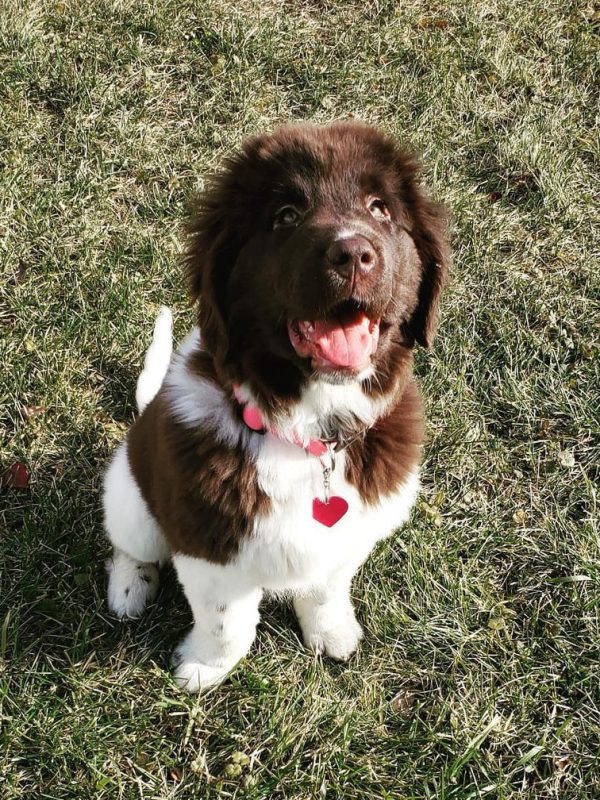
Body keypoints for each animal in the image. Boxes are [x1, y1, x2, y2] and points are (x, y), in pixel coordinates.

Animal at [103, 122, 448, 692]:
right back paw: (129, 587)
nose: (354, 254)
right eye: (286, 215)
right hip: (131, 496)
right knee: (131, 543)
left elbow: (327, 588)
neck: (309, 428)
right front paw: (203, 669)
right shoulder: (209, 547)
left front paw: (332, 632)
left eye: (379, 208)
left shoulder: (349, 535)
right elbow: (228, 624)